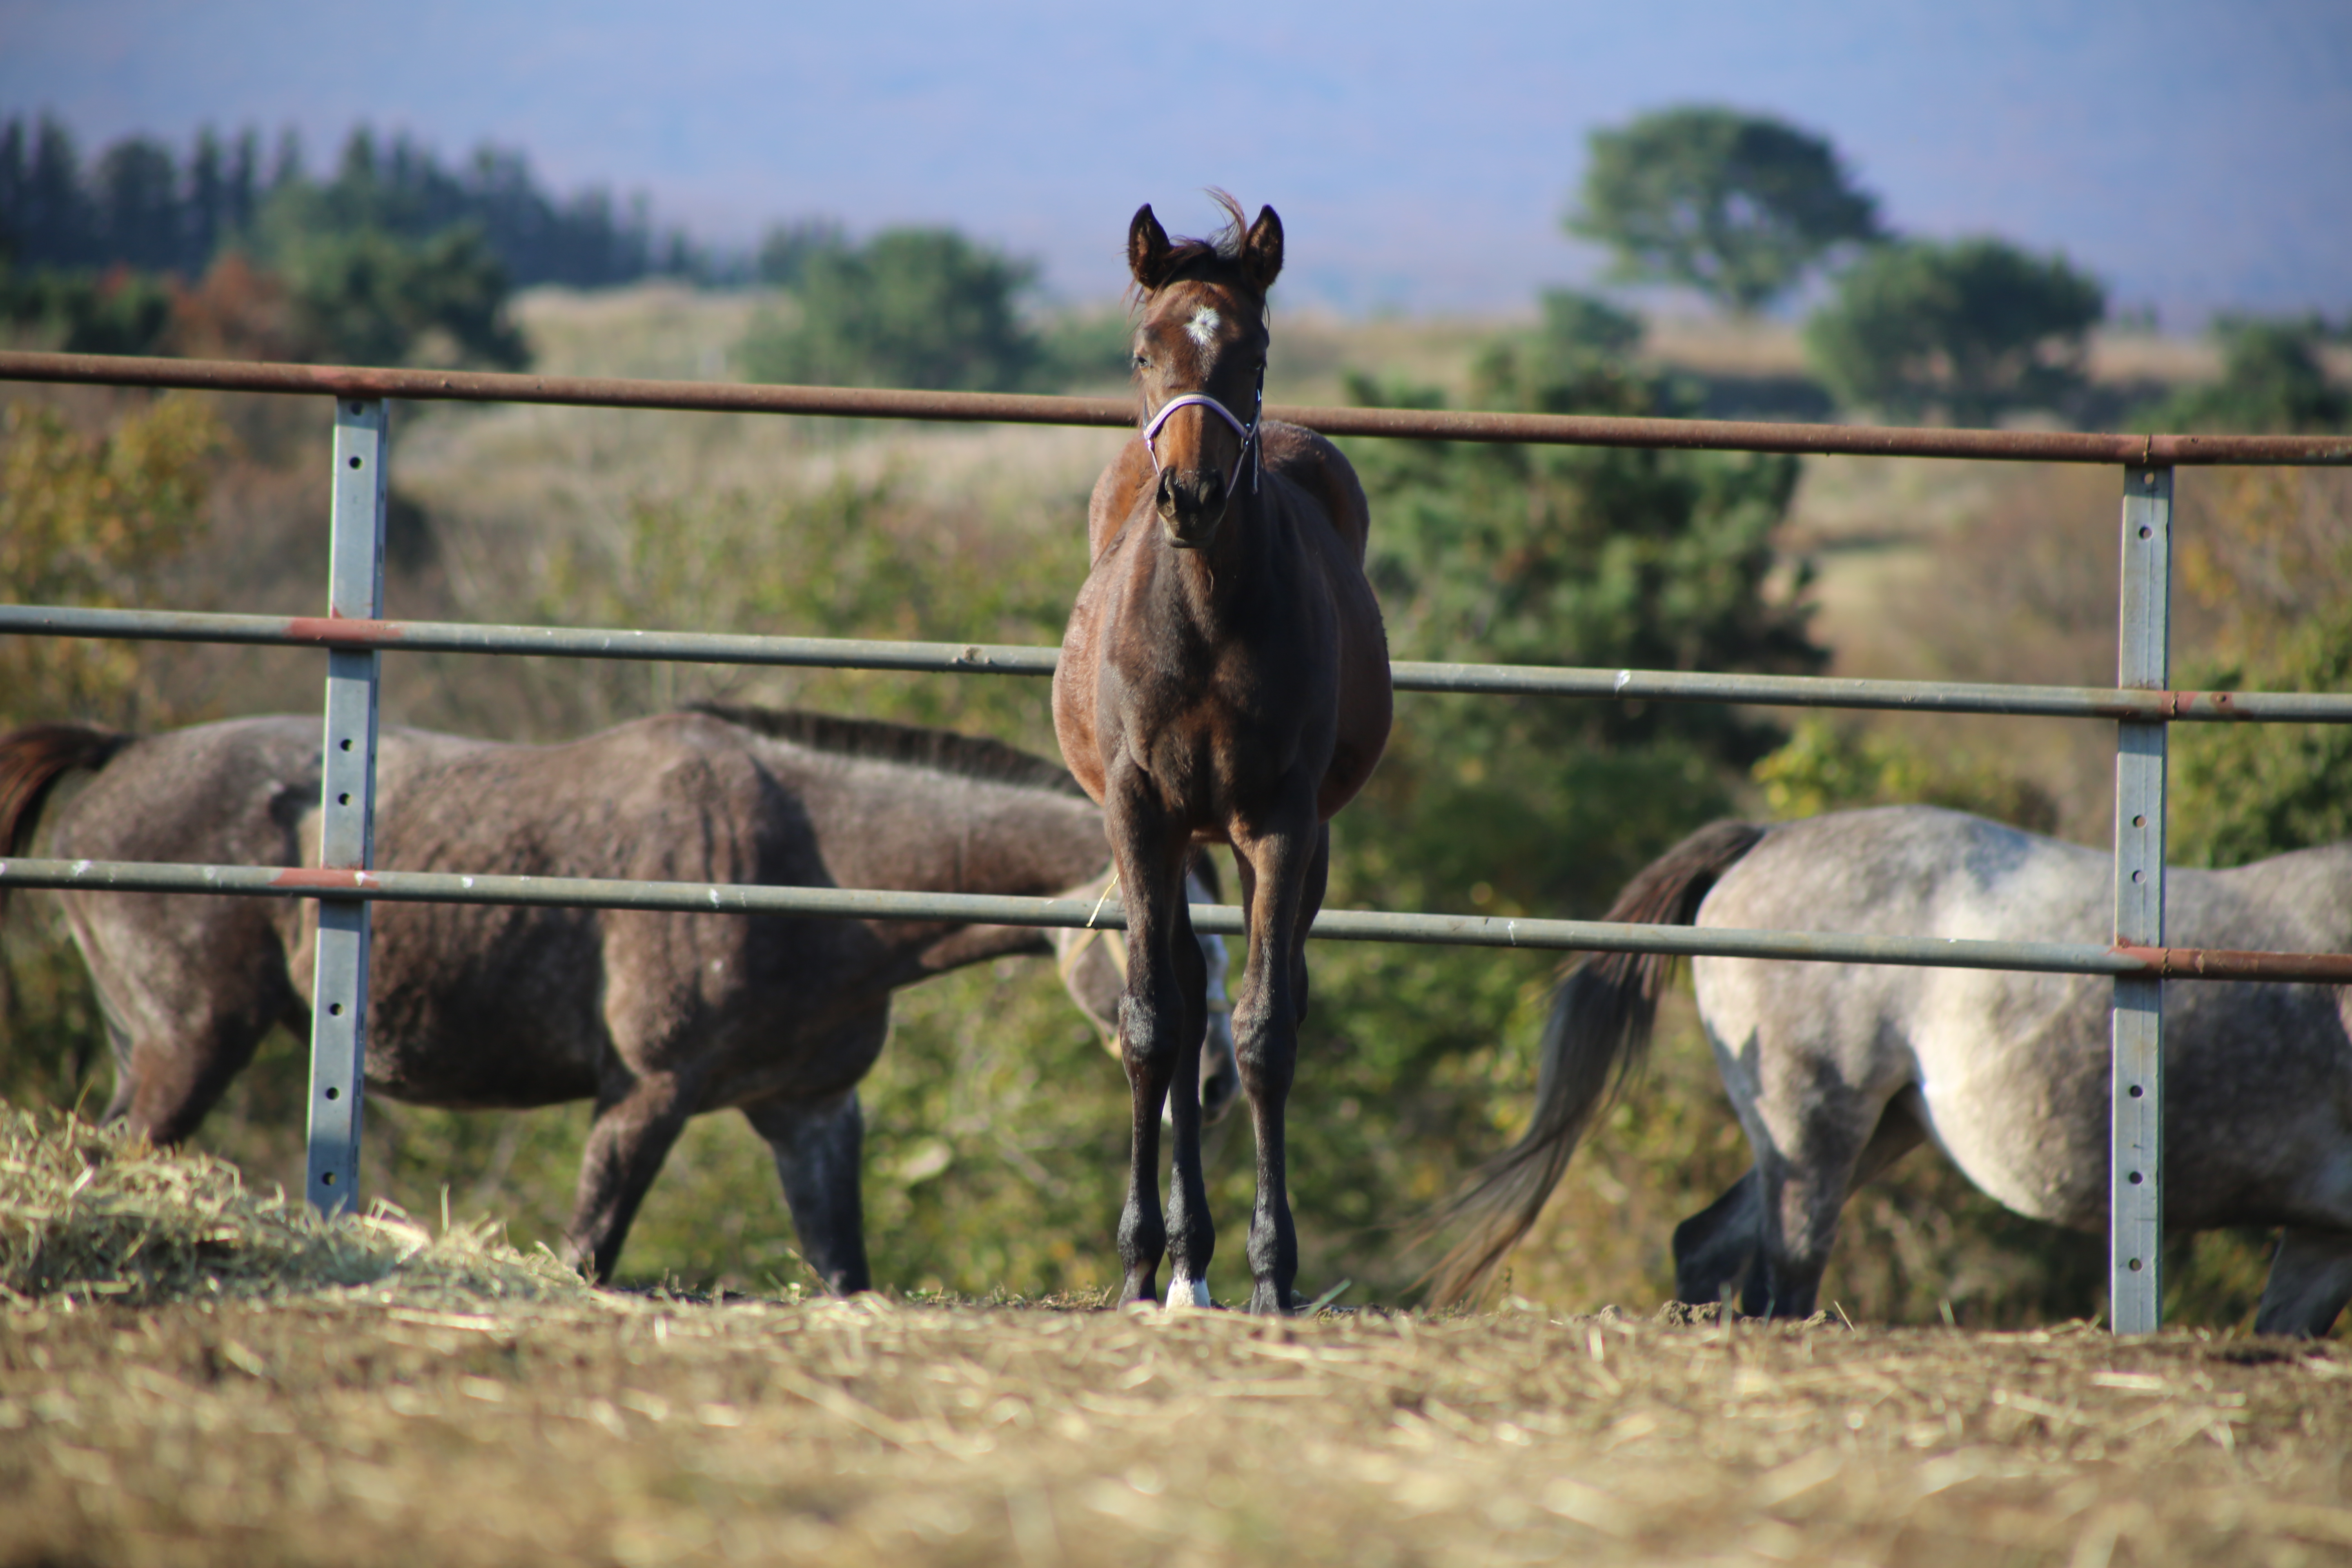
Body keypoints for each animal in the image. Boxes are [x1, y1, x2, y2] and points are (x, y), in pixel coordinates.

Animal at [4, 705, 1232, 1297]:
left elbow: (844, 1273)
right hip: (188, 1042)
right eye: (1164, 944)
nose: (1214, 1083)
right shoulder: (645, 1096)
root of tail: (118, 757)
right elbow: (589, 1252)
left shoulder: (810, 1112)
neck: (806, 862)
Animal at [1430, 808, 2352, 1335]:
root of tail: (1766, 840)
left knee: (1709, 1243)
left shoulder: (2322, 1240)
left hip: (1875, 1127)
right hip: (1815, 1126)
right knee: (1782, 1279)